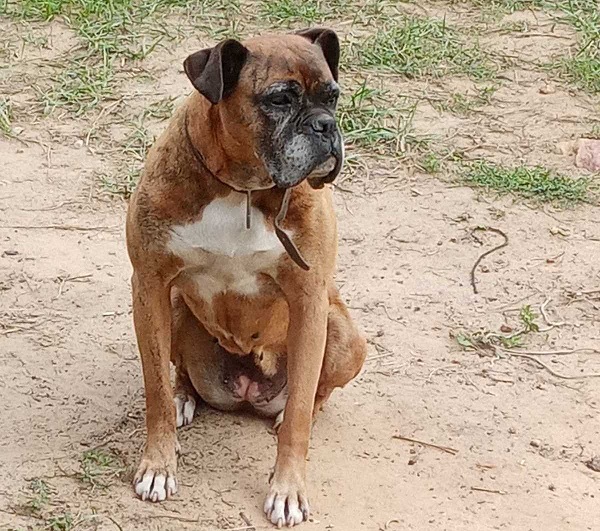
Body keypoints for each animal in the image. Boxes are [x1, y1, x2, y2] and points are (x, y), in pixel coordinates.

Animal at [125, 28, 367, 527]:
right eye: (279, 99)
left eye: (333, 97)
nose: (325, 126)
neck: (244, 189)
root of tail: (246, 390)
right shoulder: (150, 286)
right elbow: (155, 389)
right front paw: (159, 463)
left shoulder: (309, 301)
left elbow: (298, 418)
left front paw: (288, 488)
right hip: (174, 305)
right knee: (179, 374)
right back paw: (185, 395)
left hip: (343, 333)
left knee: (313, 394)